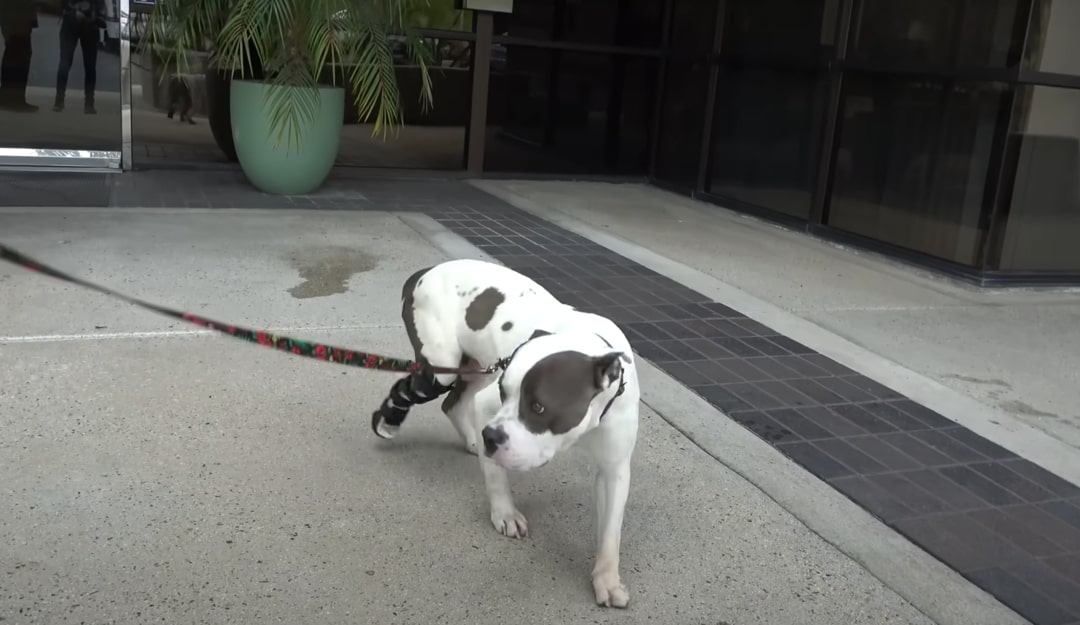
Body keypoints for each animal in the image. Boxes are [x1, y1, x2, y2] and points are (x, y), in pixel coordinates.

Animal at [373, 256, 639, 608]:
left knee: (453, 403)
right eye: (504, 393)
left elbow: (611, 530)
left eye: (538, 407)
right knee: (422, 389)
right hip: (444, 367)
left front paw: (607, 579)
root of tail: (425, 271)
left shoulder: (614, 469)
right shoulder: (490, 404)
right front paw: (506, 513)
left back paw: (470, 439)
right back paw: (390, 422)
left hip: (475, 367)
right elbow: (496, 476)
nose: (489, 438)